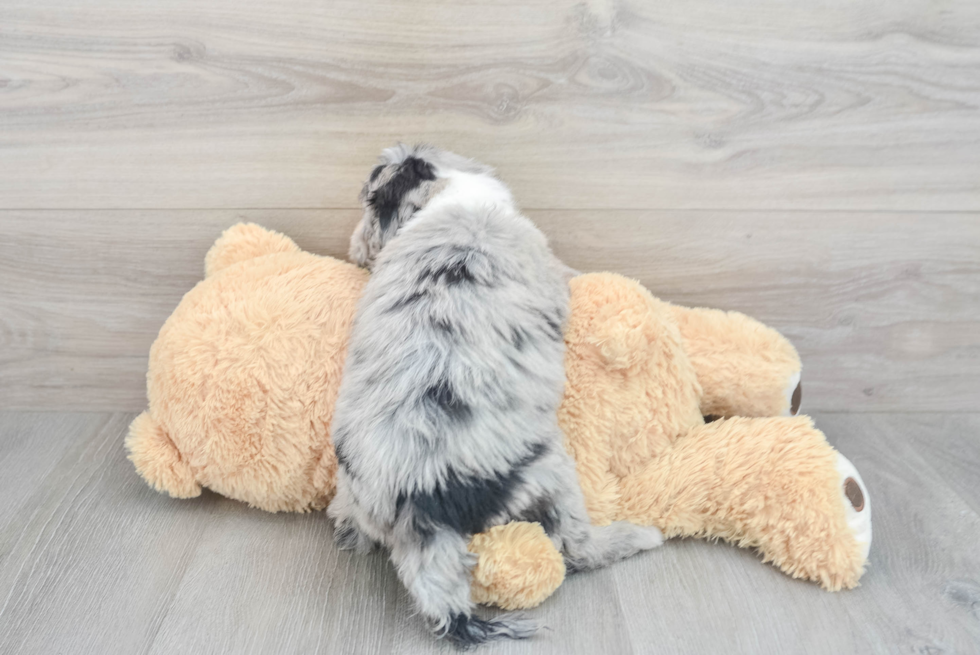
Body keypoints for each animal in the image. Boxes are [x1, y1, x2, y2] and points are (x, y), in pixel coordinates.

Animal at [332, 145, 668, 652]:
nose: (355, 250)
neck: (451, 196)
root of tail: (418, 506)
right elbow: (567, 274)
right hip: (551, 470)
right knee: (577, 548)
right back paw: (637, 536)